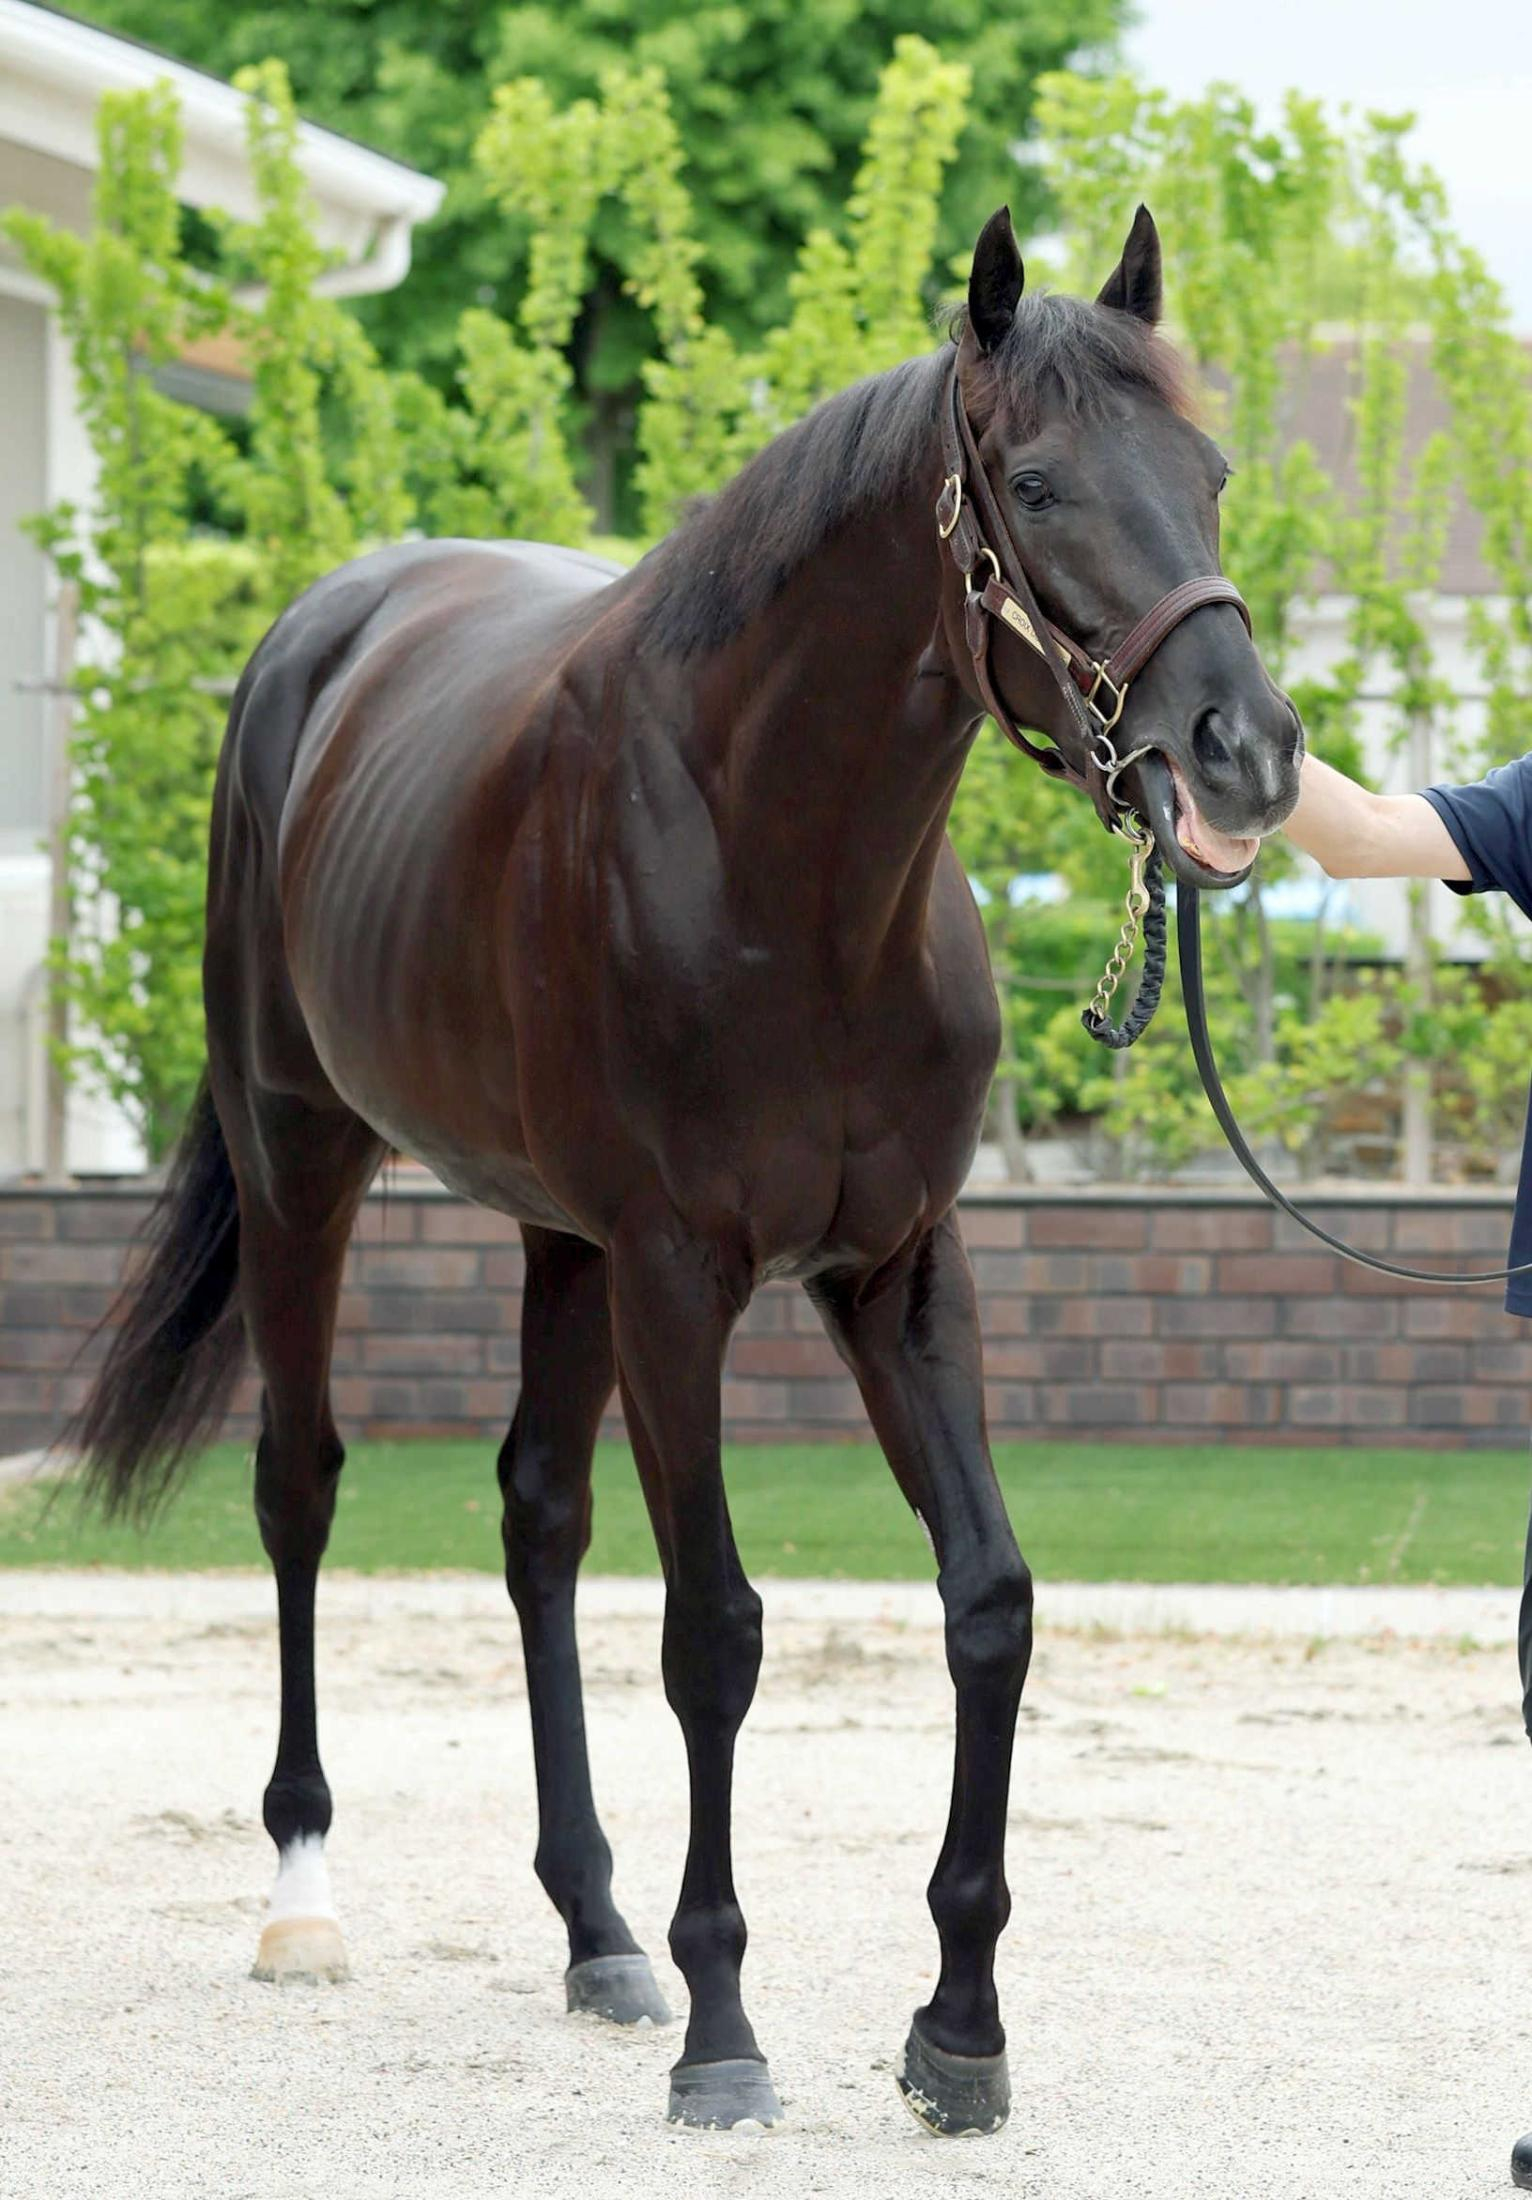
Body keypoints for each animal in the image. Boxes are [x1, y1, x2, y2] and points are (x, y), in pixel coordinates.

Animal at [68, 204, 1302, 2137]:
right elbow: (714, 1632)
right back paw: (304, 1899)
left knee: (534, 1520)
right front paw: (728, 2032)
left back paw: (593, 1933)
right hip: (301, 1162)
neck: (784, 868)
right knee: (299, 1488)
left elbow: (990, 1602)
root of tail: (319, 637)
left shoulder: (896, 1270)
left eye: (1211, 472)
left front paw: (958, 2031)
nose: (1246, 754)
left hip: (556, 1241)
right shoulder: (675, 1276)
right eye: (1033, 482)